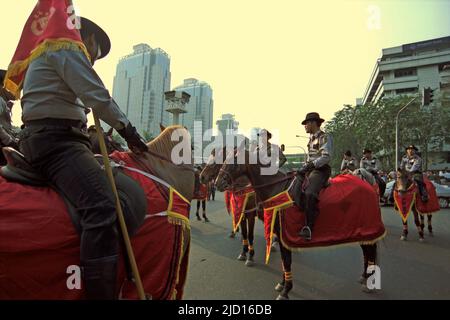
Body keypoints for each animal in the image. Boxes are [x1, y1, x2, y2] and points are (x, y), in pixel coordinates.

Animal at [214, 146, 384, 298]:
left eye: (234, 162)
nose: (217, 183)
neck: (276, 188)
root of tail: (369, 187)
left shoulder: (280, 231)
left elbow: (286, 260)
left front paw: (285, 290)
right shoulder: (277, 232)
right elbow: (283, 260)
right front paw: (282, 284)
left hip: (367, 225)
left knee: (370, 250)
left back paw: (369, 281)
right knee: (367, 249)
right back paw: (365, 277)